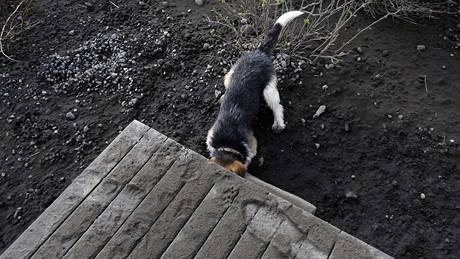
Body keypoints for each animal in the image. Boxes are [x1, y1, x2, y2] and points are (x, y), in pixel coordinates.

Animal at [207, 10, 304, 177]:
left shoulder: (251, 143)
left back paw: (278, 124)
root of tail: (259, 52)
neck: (227, 142)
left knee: (278, 107)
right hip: (229, 76)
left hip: (268, 90)